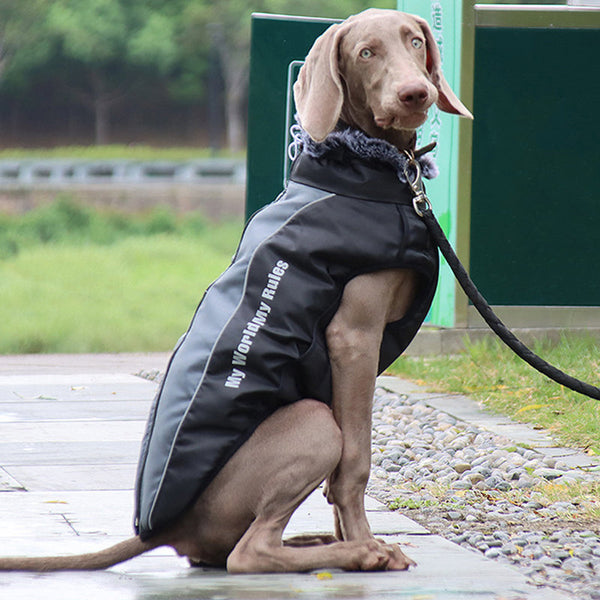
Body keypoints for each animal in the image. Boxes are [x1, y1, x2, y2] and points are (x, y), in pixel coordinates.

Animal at [0, 8, 468, 572]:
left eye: (416, 41)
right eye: (365, 53)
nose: (415, 93)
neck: (364, 168)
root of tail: (167, 529)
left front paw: (351, 535)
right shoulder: (354, 336)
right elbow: (356, 461)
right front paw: (367, 542)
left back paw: (322, 544)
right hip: (312, 420)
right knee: (247, 554)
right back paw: (355, 553)